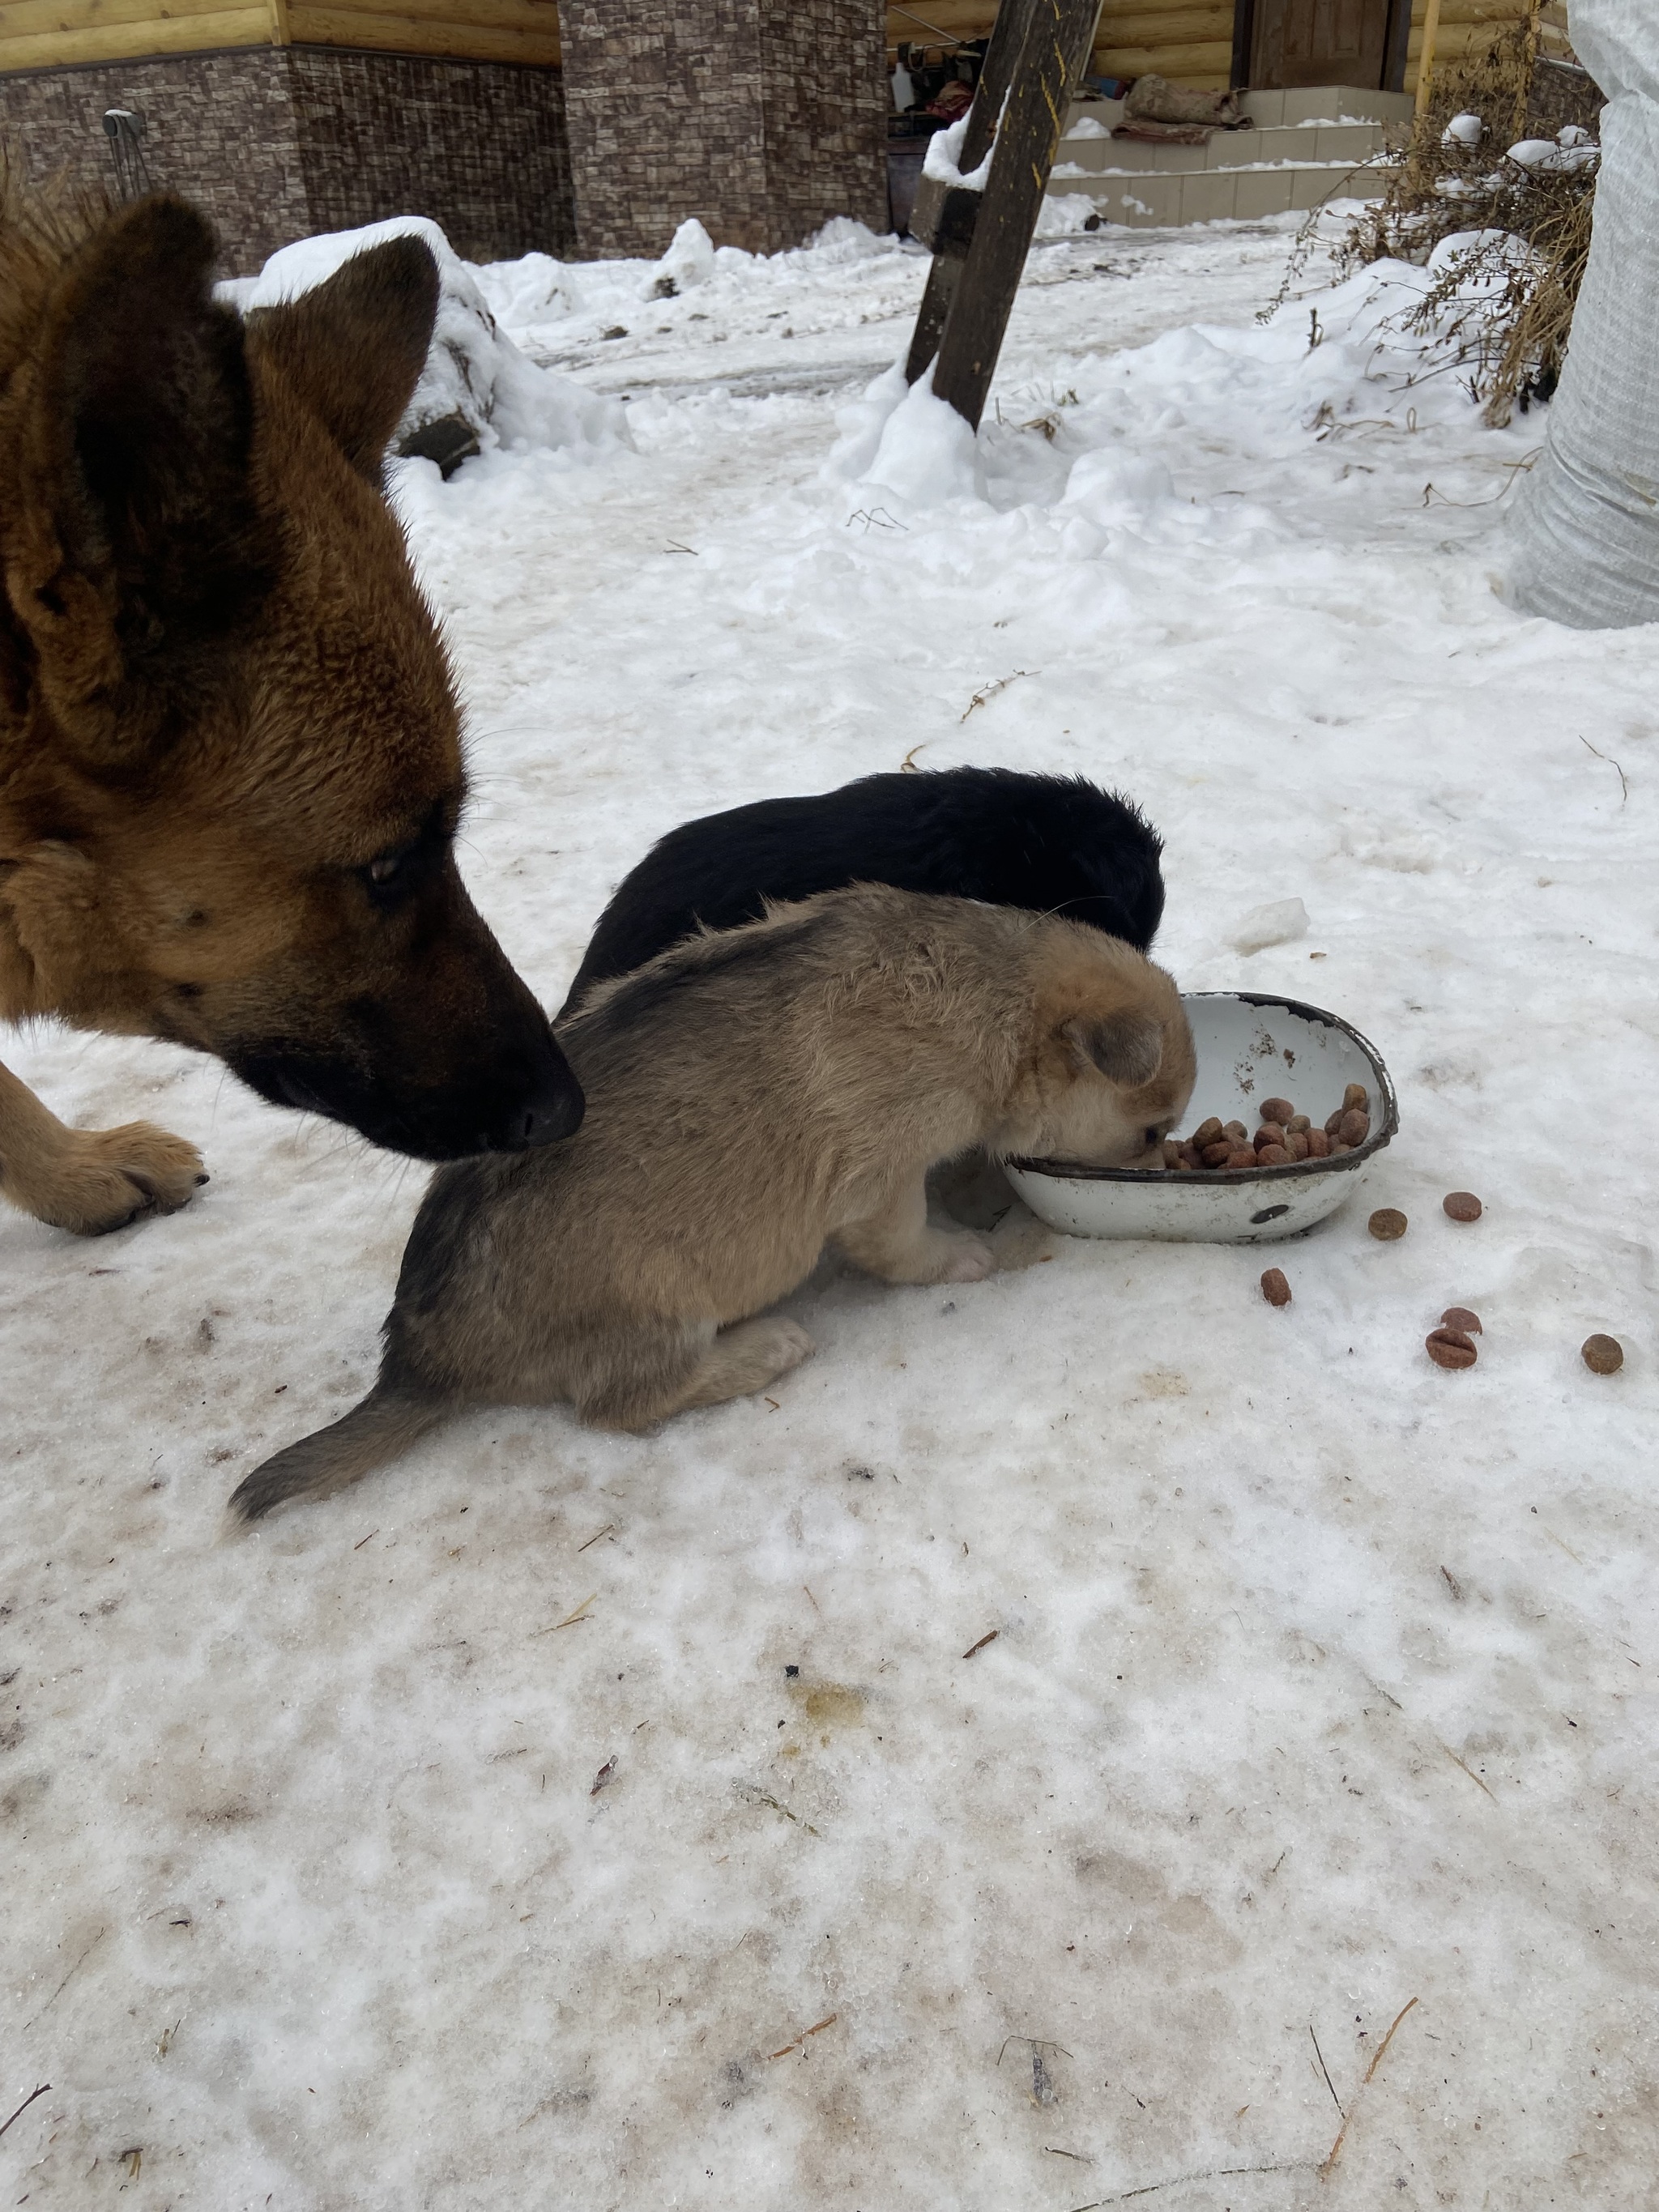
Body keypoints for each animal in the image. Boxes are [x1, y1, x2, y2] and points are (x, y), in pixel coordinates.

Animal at [234, 880, 1194, 1521]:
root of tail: (419, 1365)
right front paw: (964, 1252)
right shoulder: (878, 1184)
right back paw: (766, 1348)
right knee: (624, 1403)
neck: (995, 997)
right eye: (1150, 1131)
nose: (1159, 1170)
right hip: (658, 1308)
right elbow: (908, 1245)